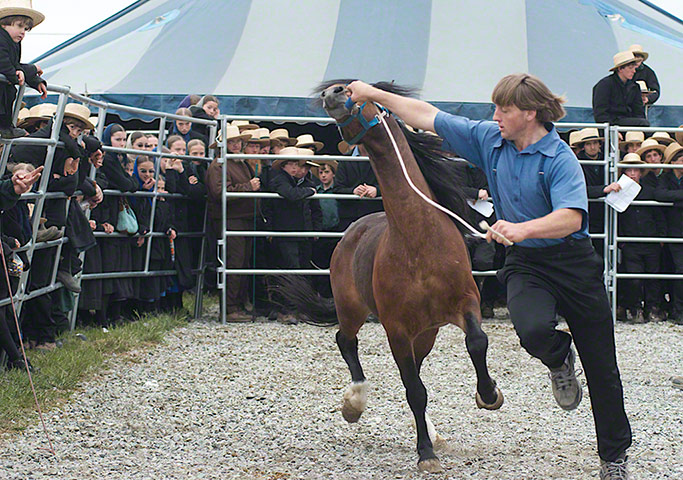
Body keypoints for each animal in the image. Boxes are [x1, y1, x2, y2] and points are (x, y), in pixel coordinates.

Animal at [288, 81, 502, 472]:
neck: (418, 240)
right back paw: (354, 403)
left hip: (428, 332)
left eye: (367, 95)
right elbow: (414, 389)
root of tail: (351, 231)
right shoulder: (397, 329)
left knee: (415, 365)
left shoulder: (466, 303)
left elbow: (477, 342)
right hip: (353, 310)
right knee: (347, 342)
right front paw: (426, 454)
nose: (333, 92)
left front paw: (489, 394)